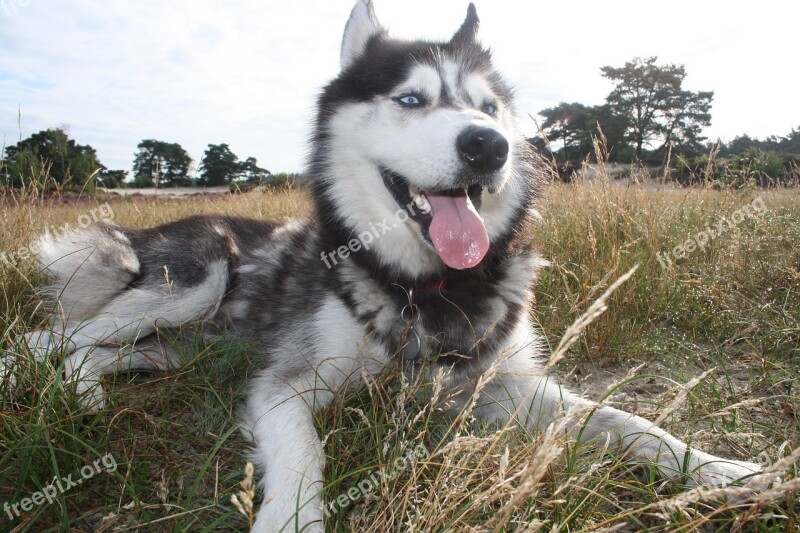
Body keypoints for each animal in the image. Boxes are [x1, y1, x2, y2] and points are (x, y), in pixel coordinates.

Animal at [23, 1, 764, 532]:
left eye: (487, 108)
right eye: (411, 99)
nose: (488, 145)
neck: (427, 284)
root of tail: (148, 225)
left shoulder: (502, 383)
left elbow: (622, 420)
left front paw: (720, 469)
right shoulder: (285, 385)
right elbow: (306, 454)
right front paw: (291, 518)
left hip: (180, 346)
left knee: (101, 351)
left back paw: (87, 393)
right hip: (197, 276)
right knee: (46, 338)